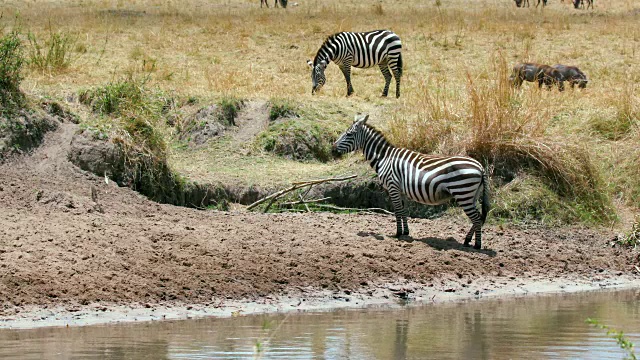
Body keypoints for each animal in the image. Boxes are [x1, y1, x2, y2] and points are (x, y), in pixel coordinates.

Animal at [330, 114, 490, 248]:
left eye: (349, 134)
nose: (332, 150)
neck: (384, 158)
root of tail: (480, 167)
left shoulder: (392, 186)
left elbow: (397, 211)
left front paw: (398, 233)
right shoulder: (401, 190)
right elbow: (404, 210)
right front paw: (406, 232)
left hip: (463, 192)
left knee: (476, 218)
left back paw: (477, 245)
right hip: (472, 195)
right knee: (478, 218)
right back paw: (467, 241)